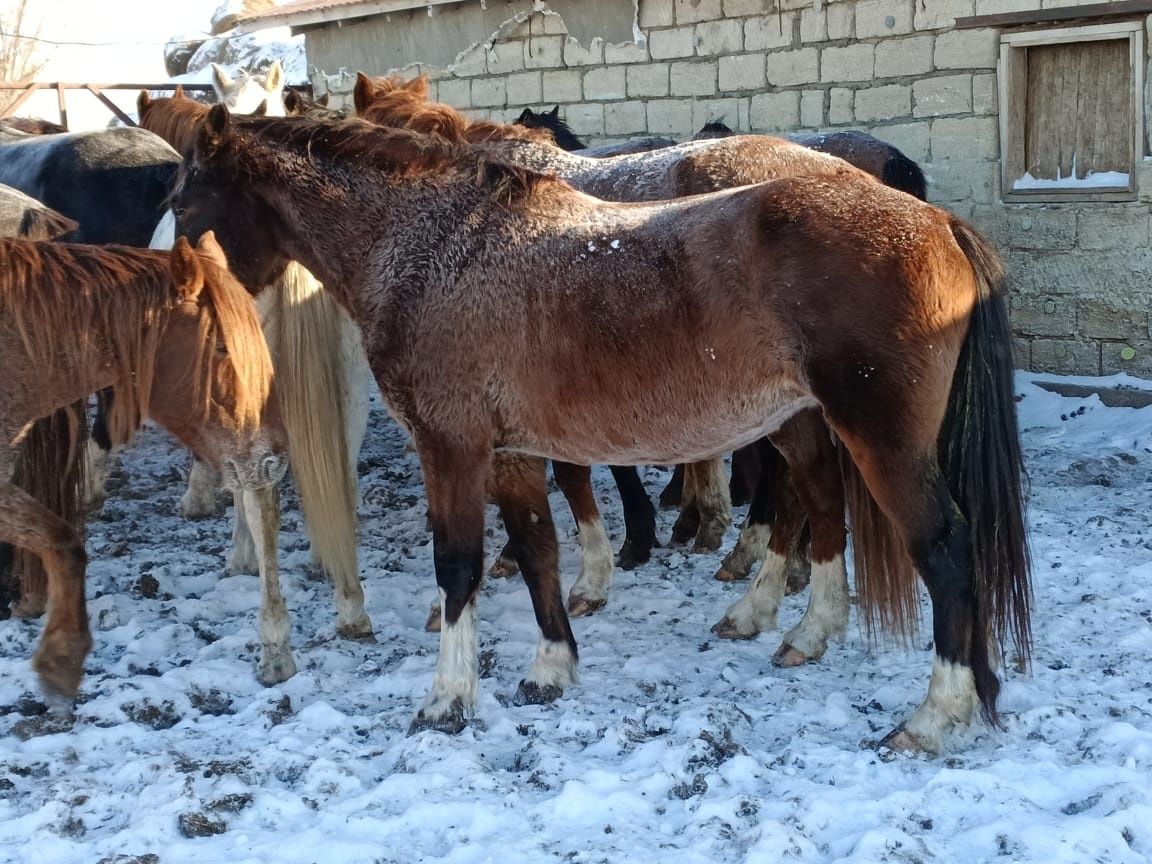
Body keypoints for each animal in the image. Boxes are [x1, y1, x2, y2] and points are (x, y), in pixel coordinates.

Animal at [172, 110, 1036, 755]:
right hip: (803, 423)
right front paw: (552, 668)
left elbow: (458, 567)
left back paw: (934, 714)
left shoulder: (450, 449)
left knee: (944, 548)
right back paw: (801, 630)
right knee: (822, 504)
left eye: (183, 205)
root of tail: (937, 221)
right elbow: (536, 549)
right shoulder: (513, 453)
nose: (191, 310)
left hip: (882, 445)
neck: (434, 248)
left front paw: (448, 698)